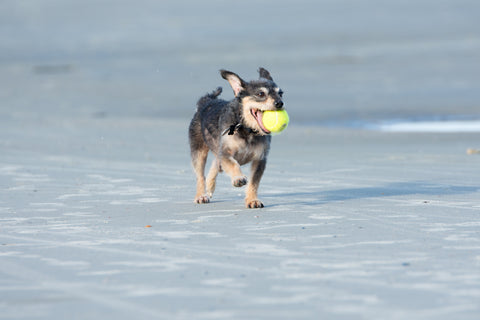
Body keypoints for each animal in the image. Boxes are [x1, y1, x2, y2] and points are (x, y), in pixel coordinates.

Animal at [188, 67, 284, 208]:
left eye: (281, 93)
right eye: (261, 94)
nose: (280, 103)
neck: (247, 128)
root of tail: (205, 101)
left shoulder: (260, 159)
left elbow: (254, 183)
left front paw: (252, 200)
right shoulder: (225, 153)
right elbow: (233, 164)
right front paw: (238, 178)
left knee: (215, 164)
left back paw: (210, 186)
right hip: (198, 151)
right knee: (200, 175)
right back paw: (201, 195)